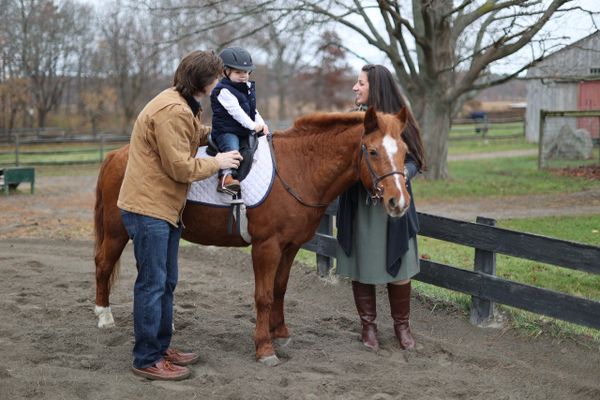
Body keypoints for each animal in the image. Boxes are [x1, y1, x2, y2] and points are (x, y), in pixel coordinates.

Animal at [94, 106, 412, 366]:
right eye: (373, 152)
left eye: (405, 151)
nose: (399, 202)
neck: (297, 169)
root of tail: (117, 155)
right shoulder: (266, 247)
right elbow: (264, 296)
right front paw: (264, 347)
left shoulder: (290, 247)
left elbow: (280, 289)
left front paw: (280, 332)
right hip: (117, 232)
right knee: (103, 264)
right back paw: (104, 316)